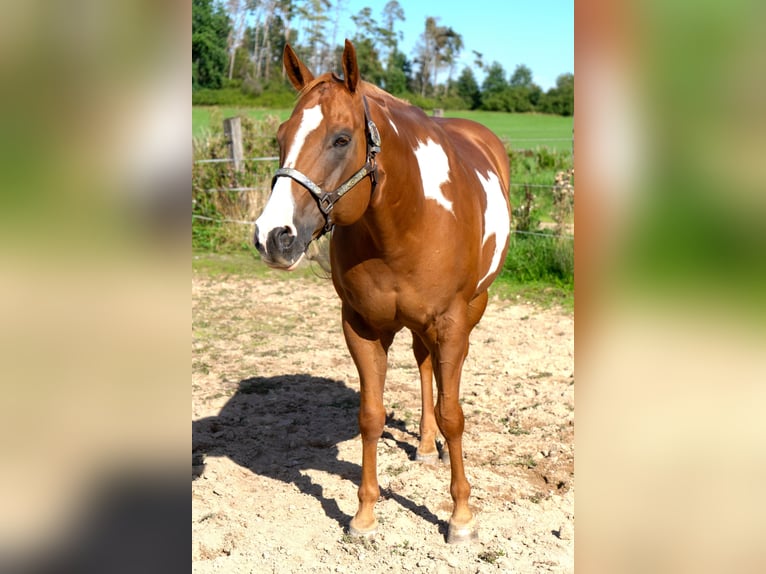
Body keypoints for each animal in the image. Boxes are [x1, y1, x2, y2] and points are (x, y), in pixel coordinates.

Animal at [254, 40, 511, 543]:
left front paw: (460, 518)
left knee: (446, 381)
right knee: (425, 366)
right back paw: (426, 445)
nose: (274, 236)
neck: (406, 219)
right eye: (280, 136)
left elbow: (454, 414)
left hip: (473, 310)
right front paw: (365, 515)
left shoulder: (451, 323)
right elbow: (370, 415)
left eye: (341, 139)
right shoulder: (361, 327)